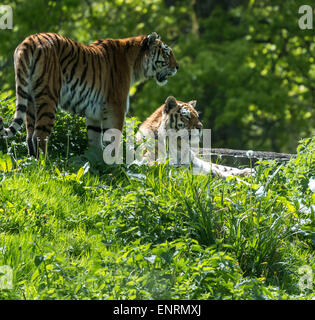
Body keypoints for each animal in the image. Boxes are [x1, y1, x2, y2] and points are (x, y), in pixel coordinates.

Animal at [0, 31, 179, 156]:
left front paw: (100, 163)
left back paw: (32, 162)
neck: (135, 63)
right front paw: (116, 165)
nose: (177, 67)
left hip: (30, 99)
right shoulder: (116, 108)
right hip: (48, 96)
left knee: (29, 135)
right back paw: (44, 165)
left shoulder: (94, 112)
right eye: (167, 53)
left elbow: (95, 141)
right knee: (39, 135)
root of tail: (29, 40)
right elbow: (114, 140)